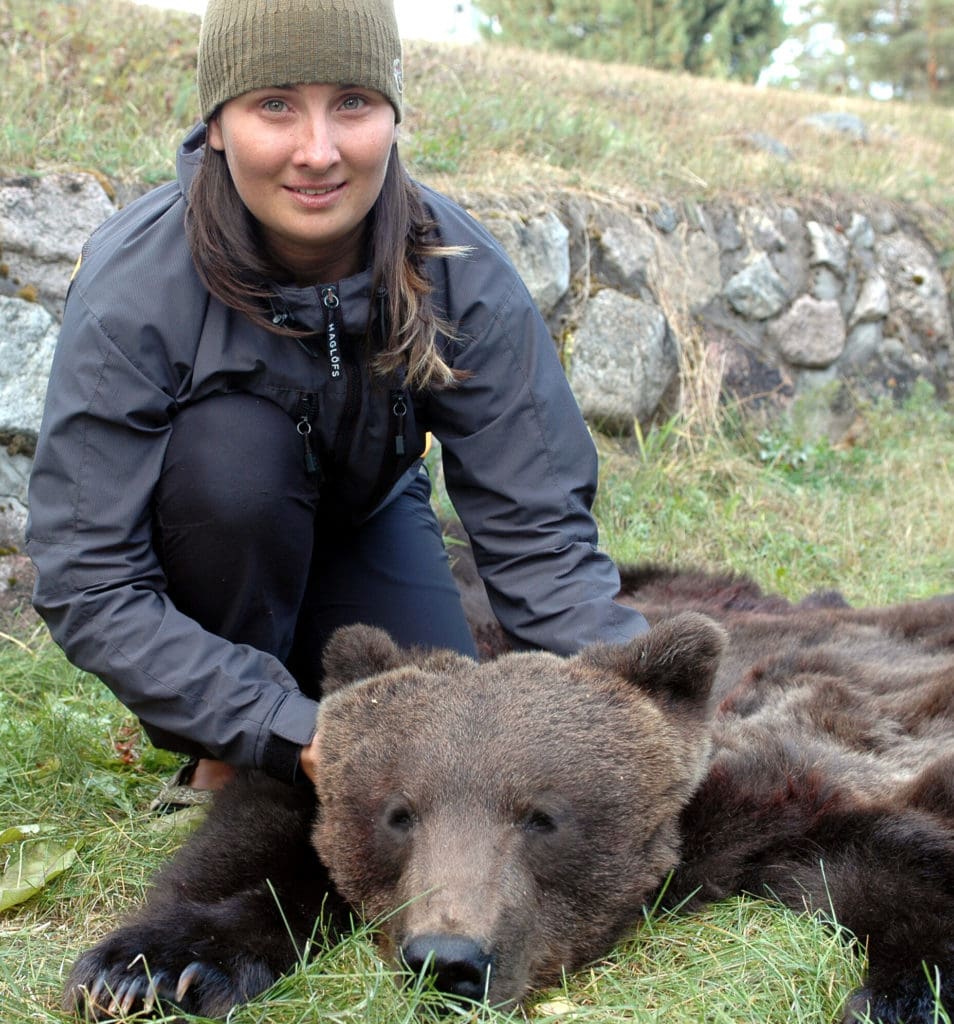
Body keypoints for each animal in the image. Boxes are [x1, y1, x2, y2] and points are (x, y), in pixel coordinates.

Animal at [65, 577, 953, 1024]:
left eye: (542, 818)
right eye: (399, 813)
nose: (448, 961)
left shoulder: (762, 795)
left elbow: (883, 858)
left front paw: (896, 997)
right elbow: (260, 851)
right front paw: (152, 970)